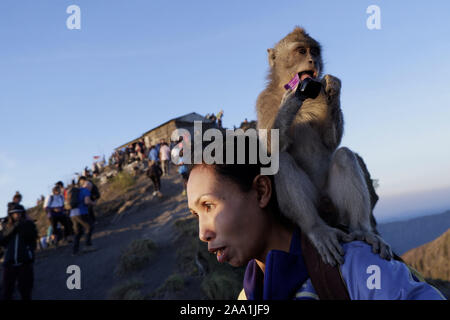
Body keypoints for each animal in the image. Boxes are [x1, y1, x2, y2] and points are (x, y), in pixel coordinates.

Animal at [255, 26, 392, 266]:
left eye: (315, 51)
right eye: (301, 51)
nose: (313, 61)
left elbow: (331, 142)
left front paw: (333, 87)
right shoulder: (263, 102)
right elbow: (271, 150)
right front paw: (293, 96)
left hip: (333, 204)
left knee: (344, 156)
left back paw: (362, 230)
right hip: (314, 205)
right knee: (282, 161)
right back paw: (316, 228)